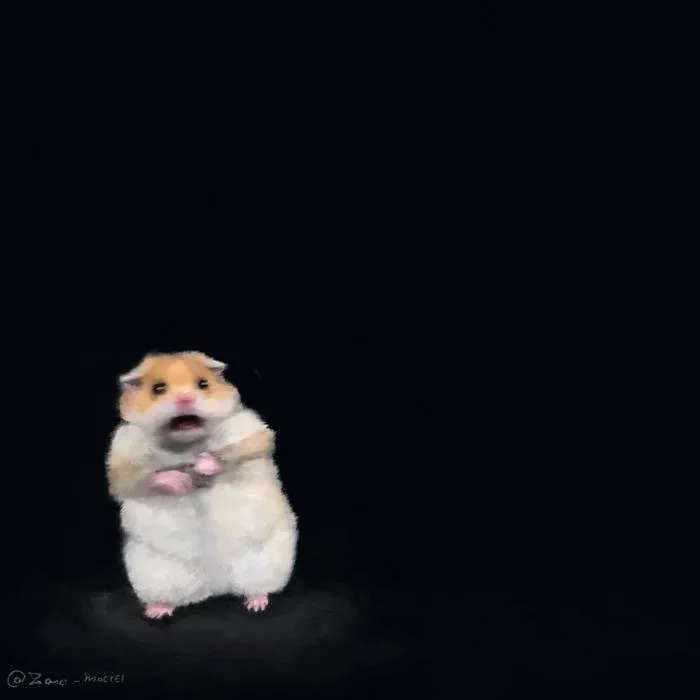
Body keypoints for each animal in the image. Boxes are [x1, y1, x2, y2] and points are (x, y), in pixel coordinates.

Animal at [106, 351, 298, 619]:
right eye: (158, 388)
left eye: (203, 384)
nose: (185, 398)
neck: (187, 443)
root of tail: (218, 586)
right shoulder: (122, 458)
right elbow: (139, 479)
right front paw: (182, 480)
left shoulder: (253, 432)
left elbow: (238, 450)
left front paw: (202, 466)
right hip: (157, 575)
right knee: (173, 597)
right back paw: (157, 611)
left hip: (265, 561)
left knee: (257, 588)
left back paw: (256, 604)